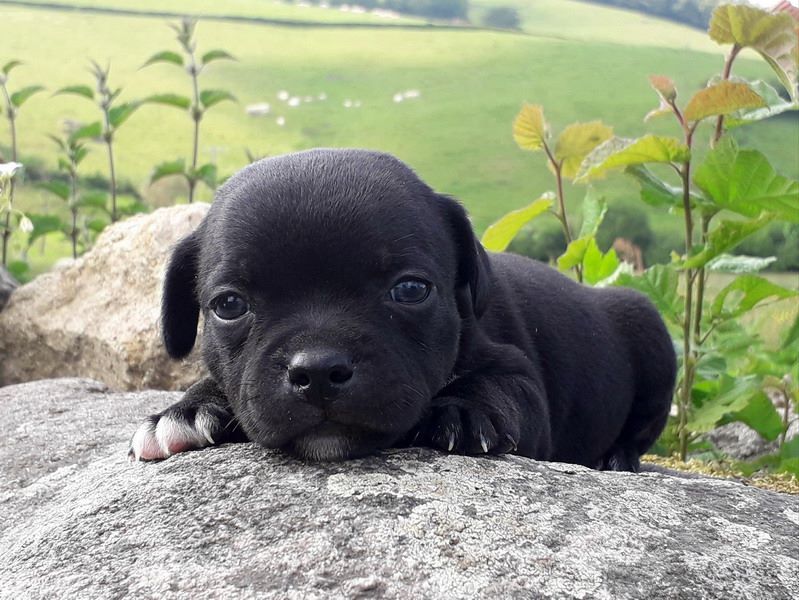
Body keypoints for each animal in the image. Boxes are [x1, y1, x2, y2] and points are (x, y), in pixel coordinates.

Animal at [128, 149, 676, 470]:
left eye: (410, 290)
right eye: (229, 305)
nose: (319, 370)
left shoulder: (518, 375)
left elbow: (500, 387)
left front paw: (465, 411)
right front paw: (185, 409)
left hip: (648, 330)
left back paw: (616, 460)